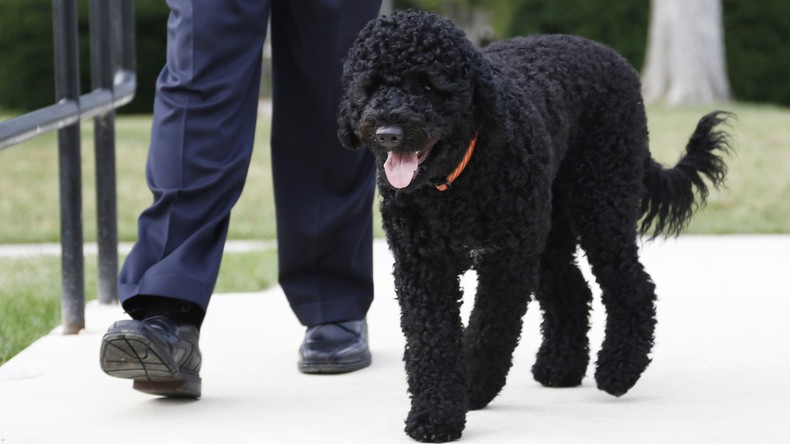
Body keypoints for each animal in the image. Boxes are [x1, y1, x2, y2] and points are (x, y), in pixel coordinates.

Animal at [338, 9, 732, 440]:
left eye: (428, 85)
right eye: (371, 86)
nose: (388, 133)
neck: (457, 183)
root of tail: (608, 53)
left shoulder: (507, 263)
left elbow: (490, 330)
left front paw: (473, 388)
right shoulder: (422, 266)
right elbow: (432, 342)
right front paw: (434, 415)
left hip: (602, 205)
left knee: (633, 285)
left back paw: (619, 370)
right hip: (549, 233)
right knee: (573, 290)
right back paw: (560, 366)